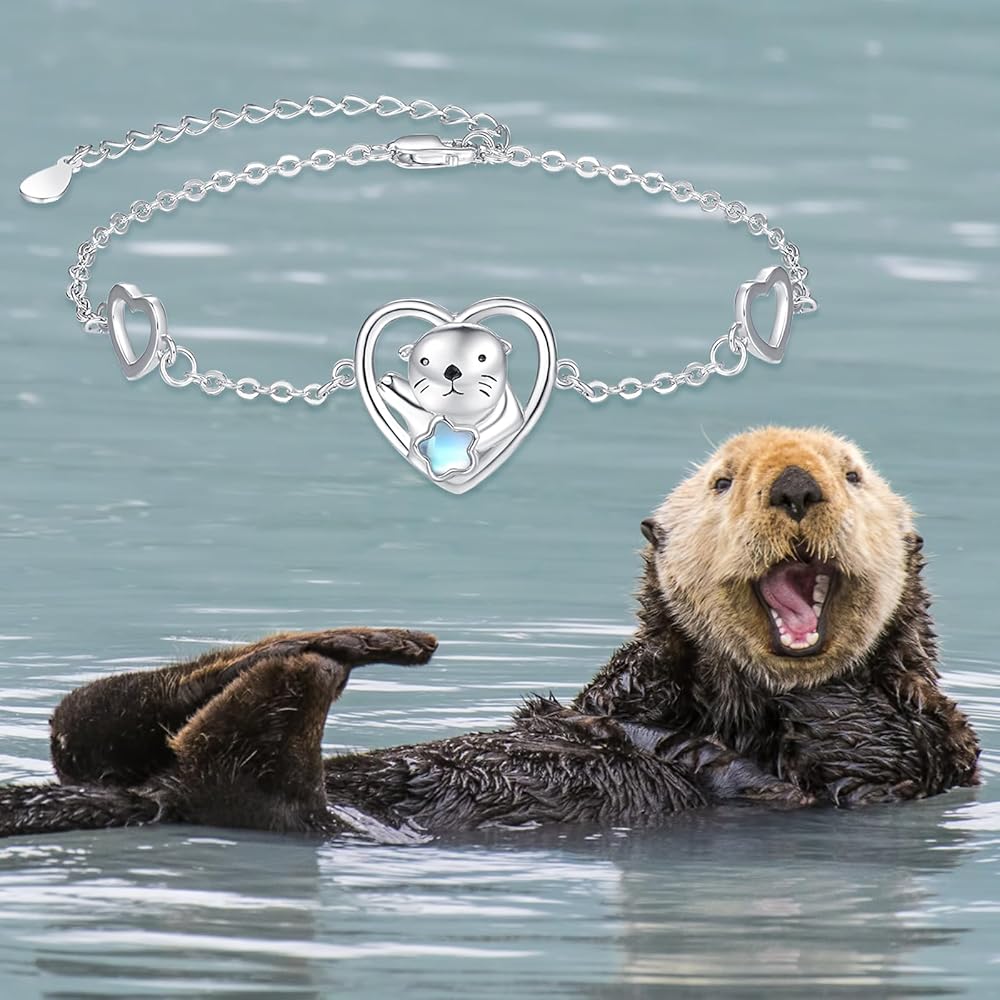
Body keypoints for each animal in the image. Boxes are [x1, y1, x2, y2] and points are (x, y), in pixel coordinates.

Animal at [0, 427, 979, 839]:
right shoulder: (624, 689)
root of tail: (151, 796)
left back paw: (323, 662)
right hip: (121, 757)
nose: (795, 486)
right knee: (87, 723)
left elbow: (861, 743)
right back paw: (352, 640)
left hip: (290, 809)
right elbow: (607, 700)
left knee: (229, 766)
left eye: (851, 475)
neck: (736, 707)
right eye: (723, 482)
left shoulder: (921, 749)